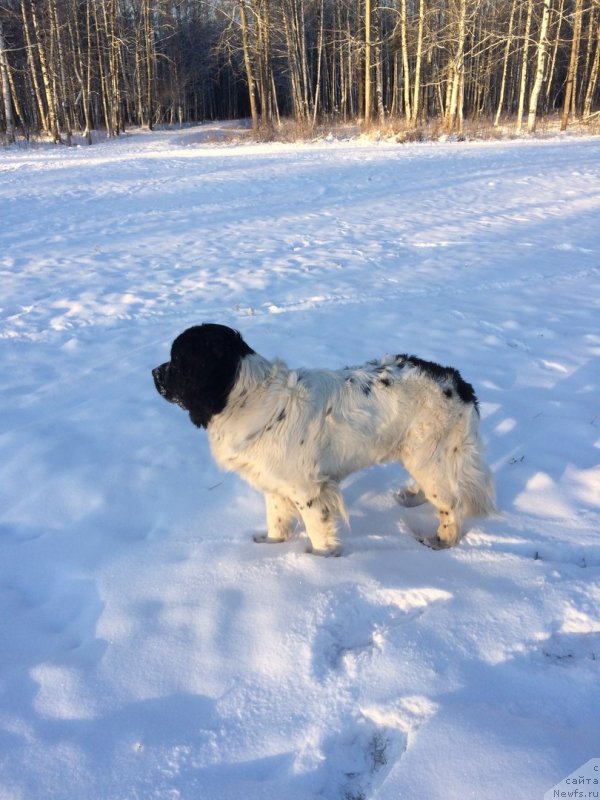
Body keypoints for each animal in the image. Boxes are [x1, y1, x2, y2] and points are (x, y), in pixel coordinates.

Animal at [152, 324, 494, 556]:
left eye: (178, 360)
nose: (154, 372)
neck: (245, 395)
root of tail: (458, 382)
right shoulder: (273, 482)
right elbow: (276, 517)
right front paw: (271, 545)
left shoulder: (308, 489)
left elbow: (317, 527)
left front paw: (319, 560)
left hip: (428, 454)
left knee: (451, 503)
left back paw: (441, 541)